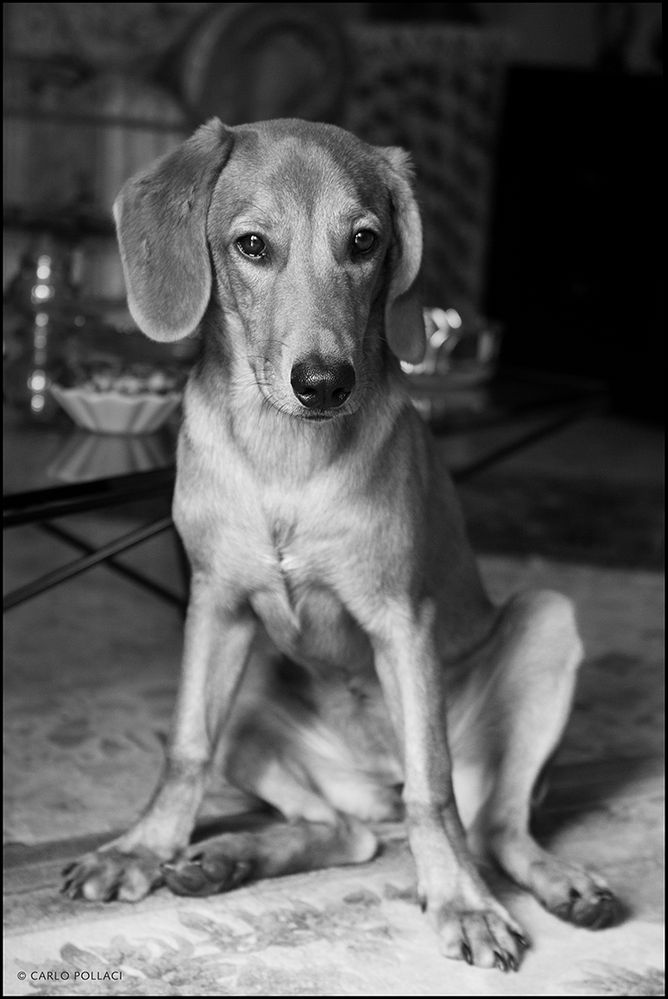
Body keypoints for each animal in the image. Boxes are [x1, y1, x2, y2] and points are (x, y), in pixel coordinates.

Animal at [62, 115, 616, 968]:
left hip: (547, 619)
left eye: (363, 241)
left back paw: (558, 881)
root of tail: (368, 781)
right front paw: (143, 848)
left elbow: (434, 788)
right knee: (345, 831)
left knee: (490, 823)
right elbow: (186, 748)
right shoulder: (215, 606)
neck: (284, 458)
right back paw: (231, 856)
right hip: (253, 682)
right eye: (251, 245)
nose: (323, 383)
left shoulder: (403, 621)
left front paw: (460, 901)